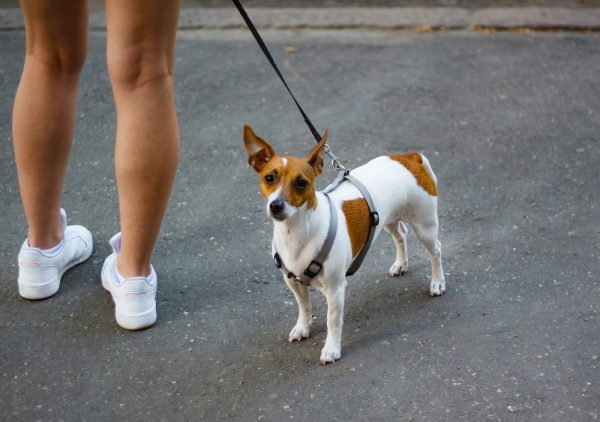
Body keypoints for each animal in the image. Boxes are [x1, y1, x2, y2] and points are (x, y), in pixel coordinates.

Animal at [241, 124, 442, 362]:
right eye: (270, 178)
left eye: (301, 183)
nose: (276, 205)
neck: (296, 232)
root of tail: (409, 158)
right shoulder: (293, 282)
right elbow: (303, 306)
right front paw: (303, 327)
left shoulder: (335, 289)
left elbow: (333, 321)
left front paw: (331, 348)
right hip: (385, 220)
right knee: (400, 234)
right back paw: (401, 264)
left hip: (425, 226)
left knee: (436, 251)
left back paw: (437, 282)